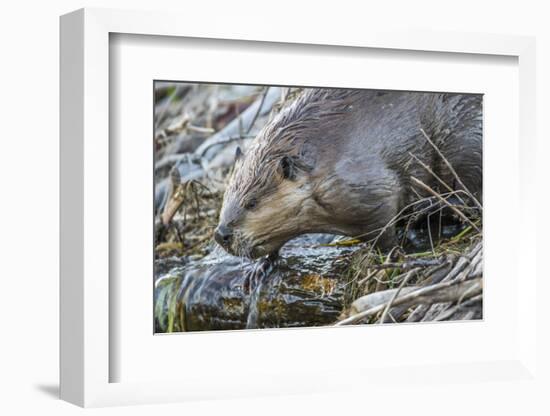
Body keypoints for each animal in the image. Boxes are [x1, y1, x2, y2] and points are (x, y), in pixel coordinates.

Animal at [216, 89, 484, 258]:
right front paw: (262, 268)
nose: (221, 235)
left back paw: (428, 210)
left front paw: (394, 253)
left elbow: (383, 221)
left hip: (463, 139)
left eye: (251, 203)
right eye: (226, 198)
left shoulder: (363, 183)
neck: (323, 155)